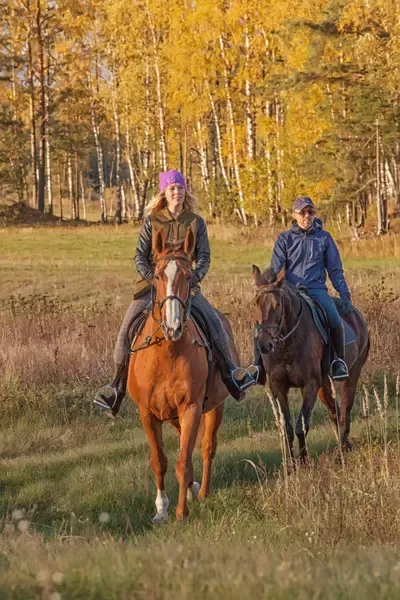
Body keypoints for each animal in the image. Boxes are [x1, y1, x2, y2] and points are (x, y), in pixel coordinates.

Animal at [253, 264, 368, 458]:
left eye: (278, 304)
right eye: (256, 303)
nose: (264, 345)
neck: (287, 347)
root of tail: (357, 316)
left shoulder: (310, 384)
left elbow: (302, 425)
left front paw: (304, 460)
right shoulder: (279, 387)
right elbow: (288, 428)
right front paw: (292, 463)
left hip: (351, 375)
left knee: (344, 411)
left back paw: (341, 451)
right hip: (324, 383)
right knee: (335, 412)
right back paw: (344, 445)